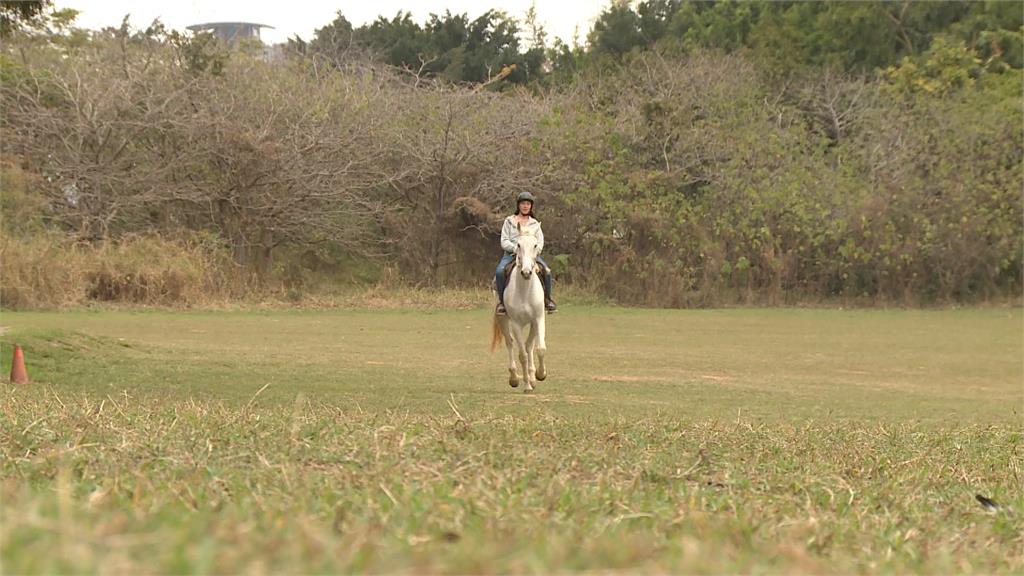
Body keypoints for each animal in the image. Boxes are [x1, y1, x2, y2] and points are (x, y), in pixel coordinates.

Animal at [491, 226, 548, 391]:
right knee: (510, 343)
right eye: (518, 245)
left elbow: (540, 349)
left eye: (535, 245)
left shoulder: (538, 319)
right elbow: (522, 355)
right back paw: (515, 378)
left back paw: (532, 377)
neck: (525, 290)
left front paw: (540, 375)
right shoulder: (516, 324)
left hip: (532, 324)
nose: (526, 272)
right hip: (503, 321)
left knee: (530, 345)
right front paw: (527, 385)